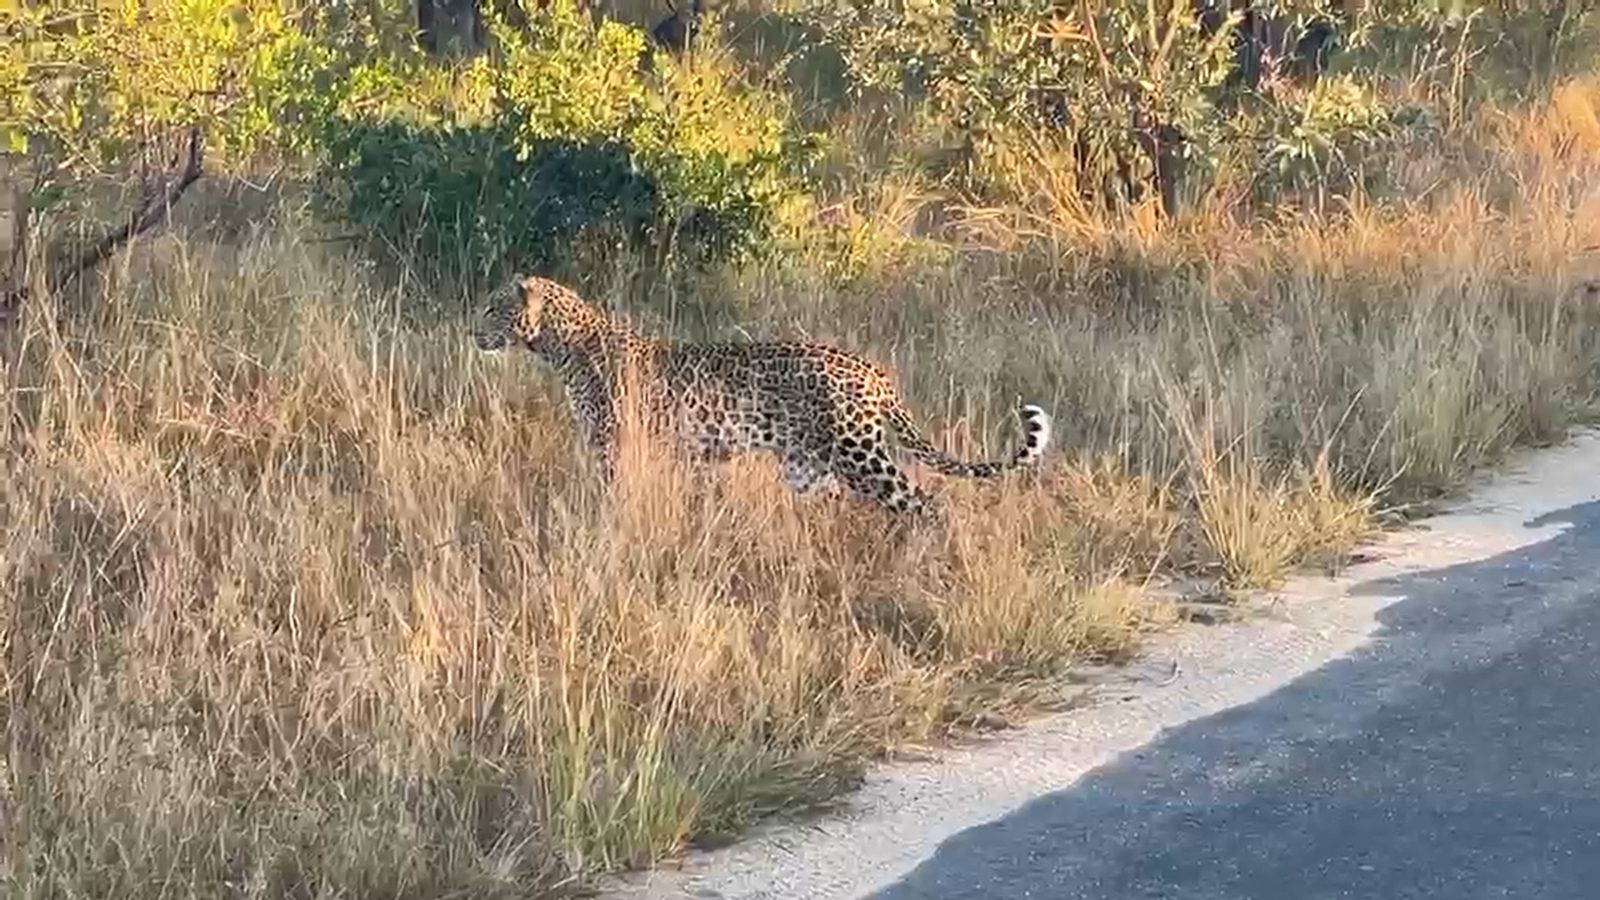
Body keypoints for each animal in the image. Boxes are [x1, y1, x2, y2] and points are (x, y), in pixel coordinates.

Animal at [473, 274, 1053, 517]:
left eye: (494, 308)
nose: (472, 332)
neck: (561, 346)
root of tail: (873, 371)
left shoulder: (613, 445)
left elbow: (610, 496)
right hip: (808, 468)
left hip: (860, 455)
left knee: (926, 504)